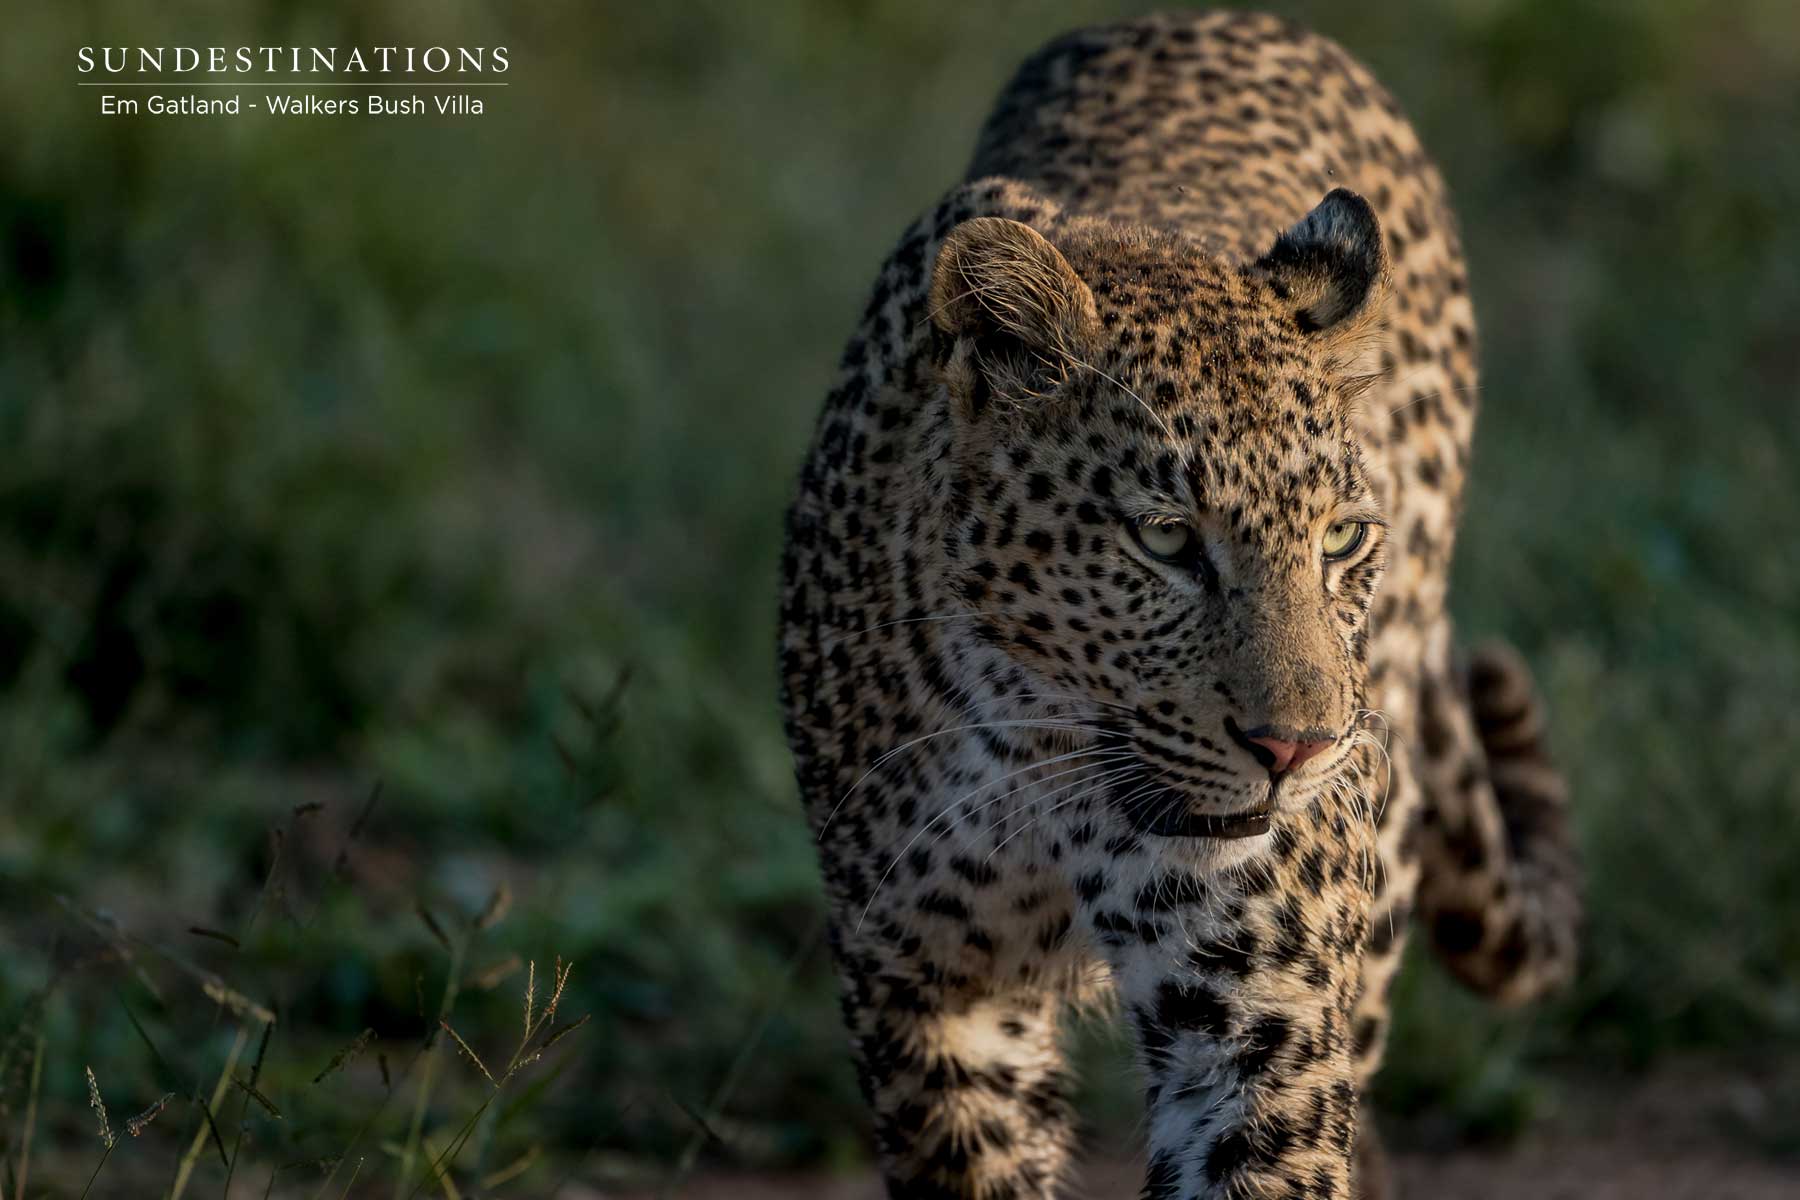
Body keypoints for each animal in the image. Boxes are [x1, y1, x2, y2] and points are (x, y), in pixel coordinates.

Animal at [778, 11, 1582, 1198]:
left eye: (1340, 538)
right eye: (1165, 541)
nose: (1296, 749)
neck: (1045, 764)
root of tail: (1228, 17)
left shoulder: (1262, 1006)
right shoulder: (927, 997)